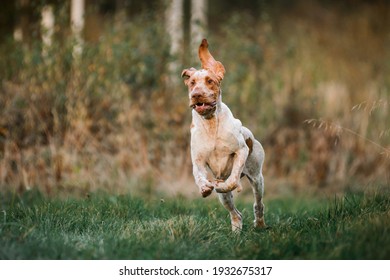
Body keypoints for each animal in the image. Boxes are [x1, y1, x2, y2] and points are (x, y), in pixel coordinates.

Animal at [181, 39, 266, 232]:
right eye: (192, 83)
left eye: (210, 81)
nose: (196, 94)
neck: (211, 124)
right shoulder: (198, 161)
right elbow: (199, 176)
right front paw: (205, 187)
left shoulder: (241, 151)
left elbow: (233, 180)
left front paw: (225, 185)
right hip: (226, 198)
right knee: (236, 214)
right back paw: (236, 231)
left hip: (257, 178)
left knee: (258, 204)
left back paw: (259, 223)